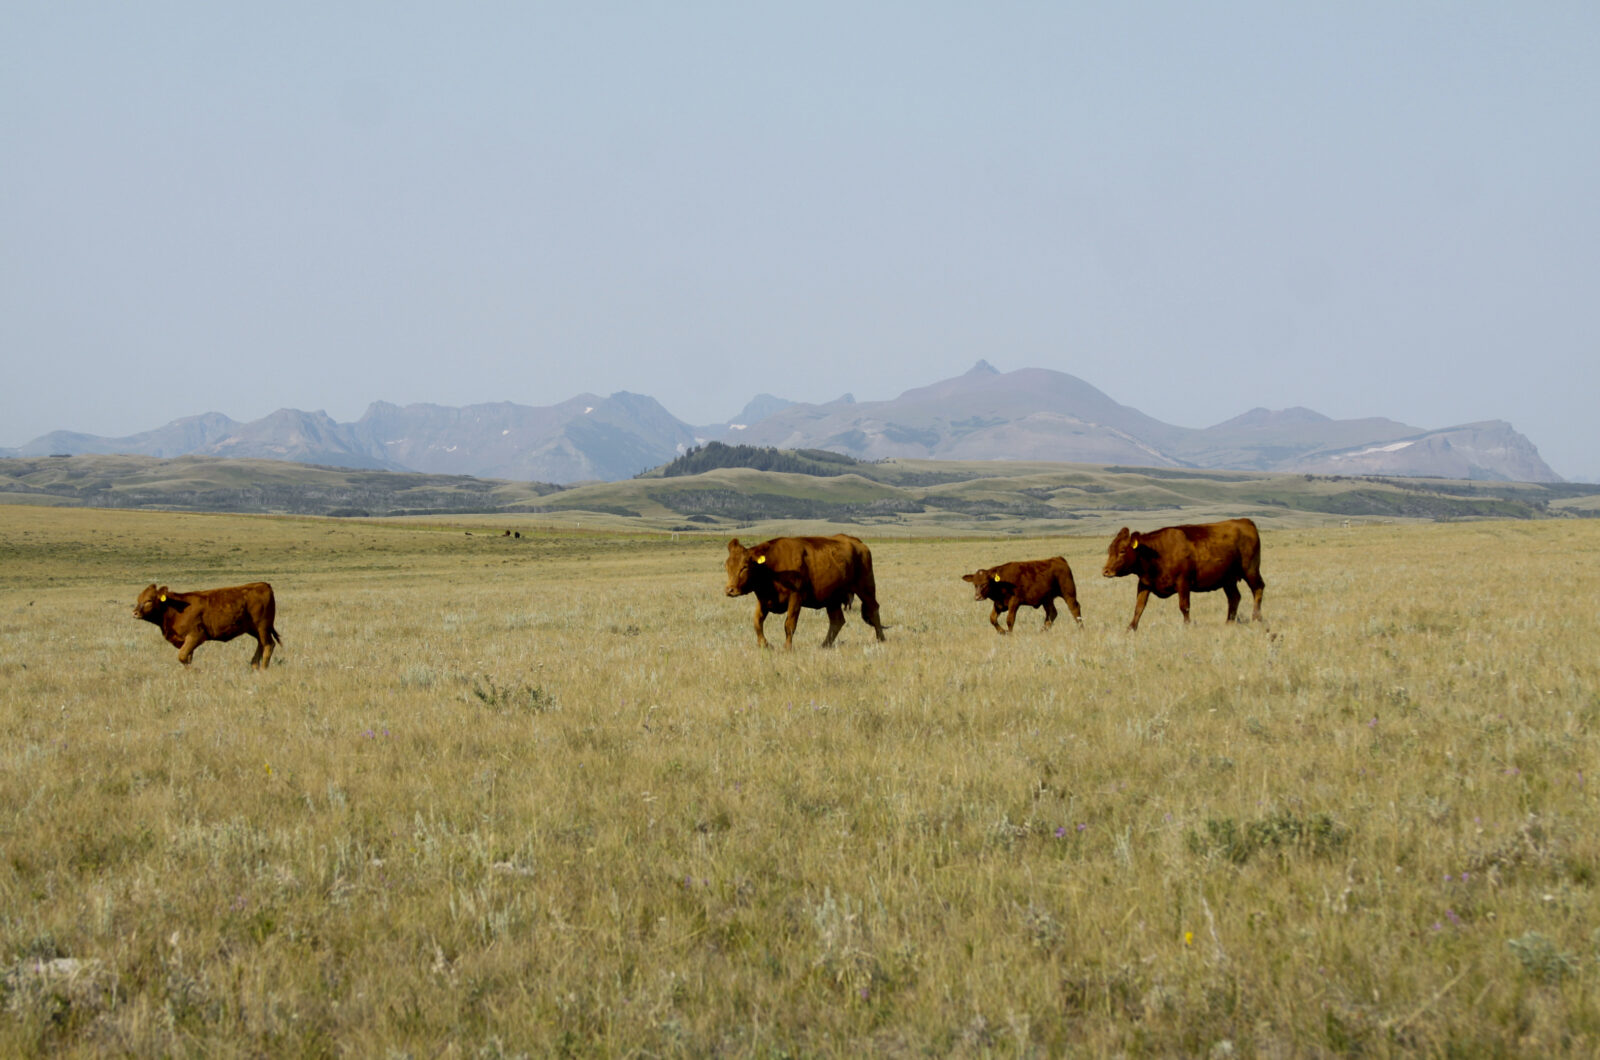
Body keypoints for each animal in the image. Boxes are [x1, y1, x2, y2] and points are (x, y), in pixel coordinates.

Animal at [133, 582, 282, 669]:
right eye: (139, 599)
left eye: (149, 600)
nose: (135, 613)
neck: (175, 608)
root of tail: (264, 585)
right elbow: (187, 658)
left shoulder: (196, 636)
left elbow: (182, 656)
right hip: (254, 629)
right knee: (261, 644)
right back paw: (254, 665)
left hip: (262, 627)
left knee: (269, 645)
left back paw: (263, 669)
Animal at [724, 535, 886, 649]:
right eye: (726, 566)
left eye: (744, 566)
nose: (730, 590)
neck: (772, 568)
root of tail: (858, 543)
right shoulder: (764, 600)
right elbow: (757, 623)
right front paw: (765, 645)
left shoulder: (795, 598)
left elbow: (789, 624)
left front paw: (787, 648)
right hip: (832, 599)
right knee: (837, 621)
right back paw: (824, 645)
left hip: (865, 588)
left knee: (873, 609)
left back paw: (881, 639)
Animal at [1101, 518, 1265, 630]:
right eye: (1109, 549)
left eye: (1122, 551)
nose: (1106, 571)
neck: (1155, 552)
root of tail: (1245, 522)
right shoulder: (1144, 584)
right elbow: (1139, 607)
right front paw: (1130, 628)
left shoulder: (1183, 584)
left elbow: (1184, 606)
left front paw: (1187, 625)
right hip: (1228, 580)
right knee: (1234, 597)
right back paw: (1229, 622)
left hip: (1250, 571)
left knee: (1258, 588)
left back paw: (1256, 618)